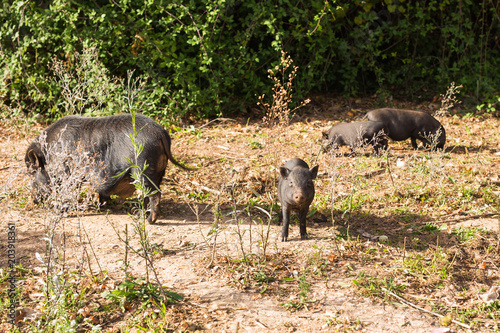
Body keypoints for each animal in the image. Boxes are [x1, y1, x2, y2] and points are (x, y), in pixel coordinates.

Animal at [24, 113, 190, 222]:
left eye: (32, 173)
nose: (33, 200)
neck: (49, 155)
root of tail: (161, 133)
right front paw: (101, 206)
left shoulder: (68, 174)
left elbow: (68, 192)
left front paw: (60, 210)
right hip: (158, 171)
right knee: (150, 193)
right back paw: (140, 213)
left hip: (143, 168)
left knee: (155, 193)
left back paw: (149, 221)